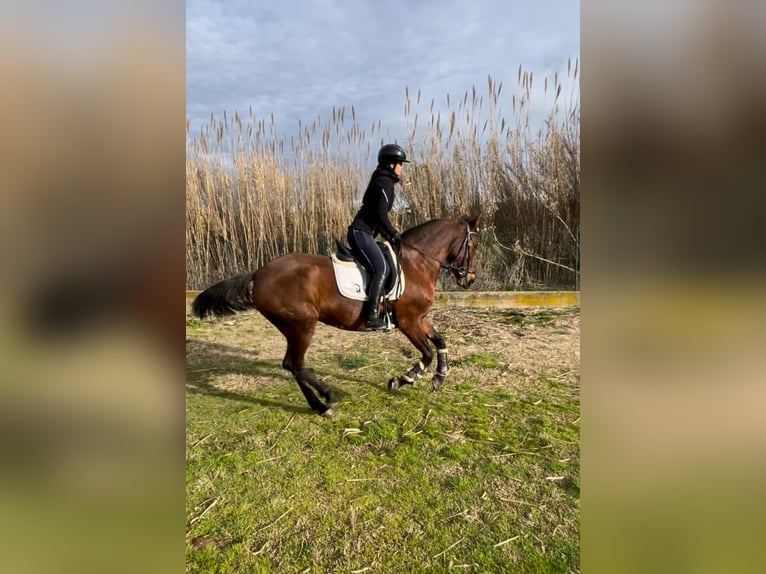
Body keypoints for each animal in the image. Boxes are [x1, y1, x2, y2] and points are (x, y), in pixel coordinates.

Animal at [191, 215, 480, 415]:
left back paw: (318, 405)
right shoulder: (408, 322)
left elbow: (440, 341)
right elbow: (427, 353)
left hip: (293, 327)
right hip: (303, 325)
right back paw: (327, 400)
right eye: (473, 244)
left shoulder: (419, 319)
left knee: (291, 365)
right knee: (295, 364)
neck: (417, 263)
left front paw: (439, 377)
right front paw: (402, 380)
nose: (470, 279)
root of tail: (258, 274)